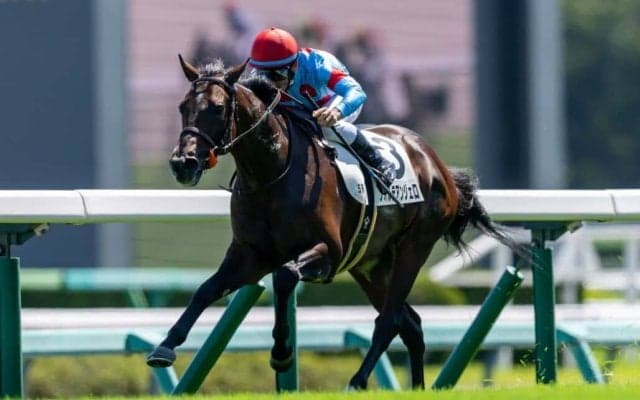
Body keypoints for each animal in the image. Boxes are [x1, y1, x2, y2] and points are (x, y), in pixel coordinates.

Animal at [146, 56, 523, 390]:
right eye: (182, 106)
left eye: (218, 108)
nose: (183, 163)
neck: (271, 173)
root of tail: (436, 164)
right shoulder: (251, 255)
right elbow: (206, 289)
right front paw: (165, 346)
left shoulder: (328, 251)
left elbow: (284, 277)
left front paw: (282, 353)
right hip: (371, 264)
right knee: (410, 323)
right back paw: (417, 387)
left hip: (413, 248)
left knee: (389, 320)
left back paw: (357, 381)